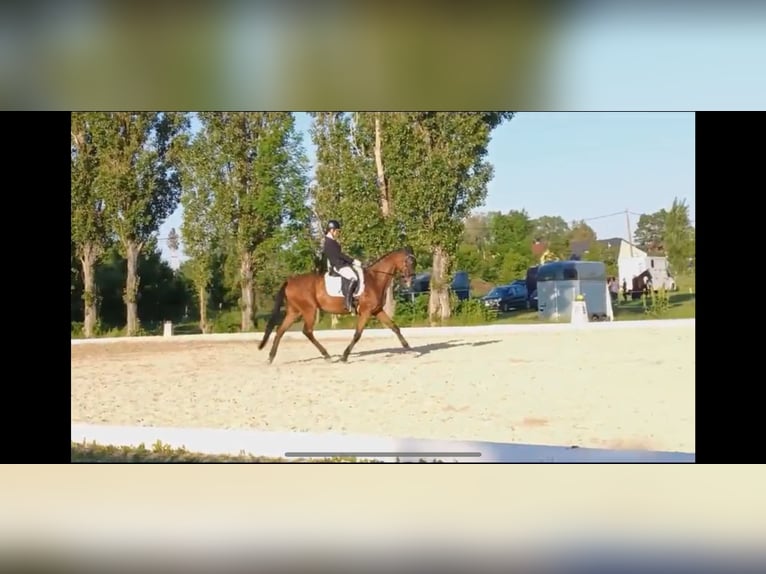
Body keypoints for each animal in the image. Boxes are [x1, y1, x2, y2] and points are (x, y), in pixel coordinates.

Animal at [258, 246, 416, 364]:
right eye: (408, 262)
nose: (410, 281)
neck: (375, 279)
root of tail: (289, 281)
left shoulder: (377, 311)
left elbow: (394, 327)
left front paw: (408, 347)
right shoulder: (365, 312)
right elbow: (357, 334)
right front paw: (344, 356)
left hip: (294, 311)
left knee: (280, 330)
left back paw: (271, 357)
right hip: (309, 310)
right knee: (307, 331)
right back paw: (326, 355)